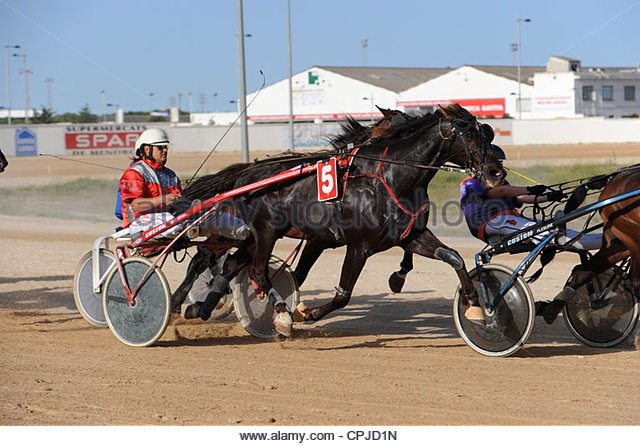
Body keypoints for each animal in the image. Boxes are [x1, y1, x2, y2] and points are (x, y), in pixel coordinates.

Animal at [172, 103, 502, 334]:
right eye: (469, 134)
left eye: (486, 132)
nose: (496, 171)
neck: (392, 177)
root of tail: (246, 174)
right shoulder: (356, 246)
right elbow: (342, 294)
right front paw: (304, 312)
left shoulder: (409, 236)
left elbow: (454, 256)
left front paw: (474, 301)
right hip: (263, 233)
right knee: (252, 271)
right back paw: (278, 315)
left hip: (252, 236)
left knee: (232, 265)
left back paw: (201, 308)